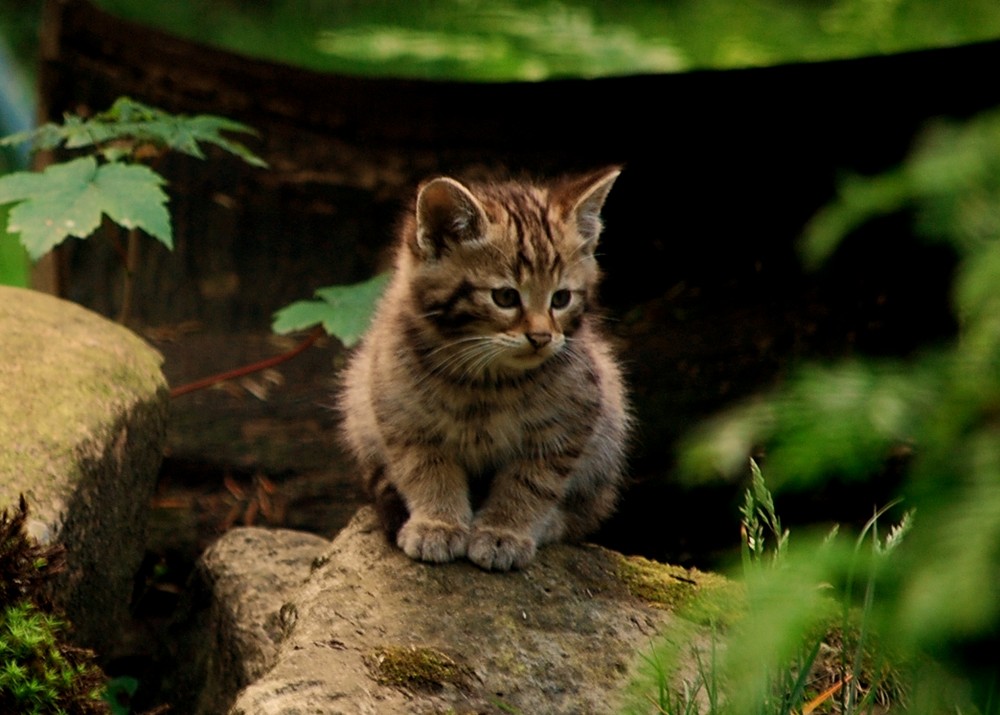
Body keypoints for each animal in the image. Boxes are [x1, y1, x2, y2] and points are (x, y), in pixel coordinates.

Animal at [340, 166, 628, 572]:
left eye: (561, 299)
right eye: (505, 297)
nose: (542, 337)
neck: (485, 379)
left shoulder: (573, 419)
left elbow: (531, 482)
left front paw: (503, 532)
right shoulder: (400, 413)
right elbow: (425, 469)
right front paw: (437, 523)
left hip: (609, 430)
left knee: (590, 510)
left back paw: (552, 523)